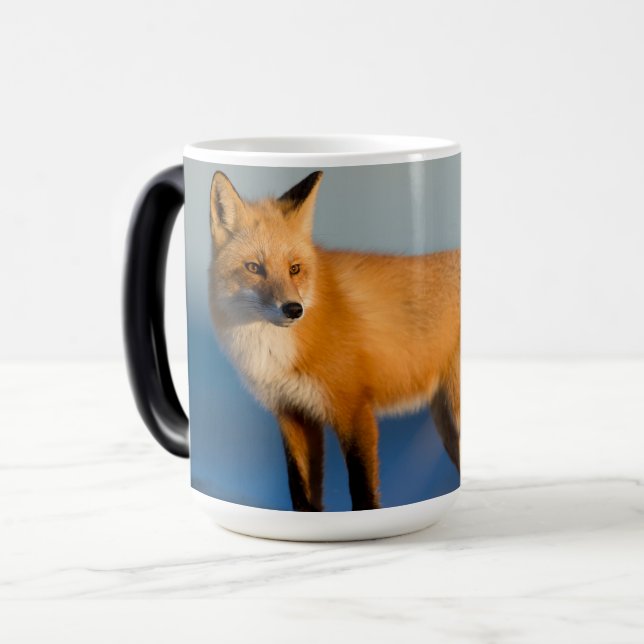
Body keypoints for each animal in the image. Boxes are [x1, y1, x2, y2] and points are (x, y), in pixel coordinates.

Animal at [208, 170, 460, 512]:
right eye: (253, 268)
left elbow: (363, 492)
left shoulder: (354, 409)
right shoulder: (293, 414)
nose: (293, 309)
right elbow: (301, 492)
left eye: (295, 268)